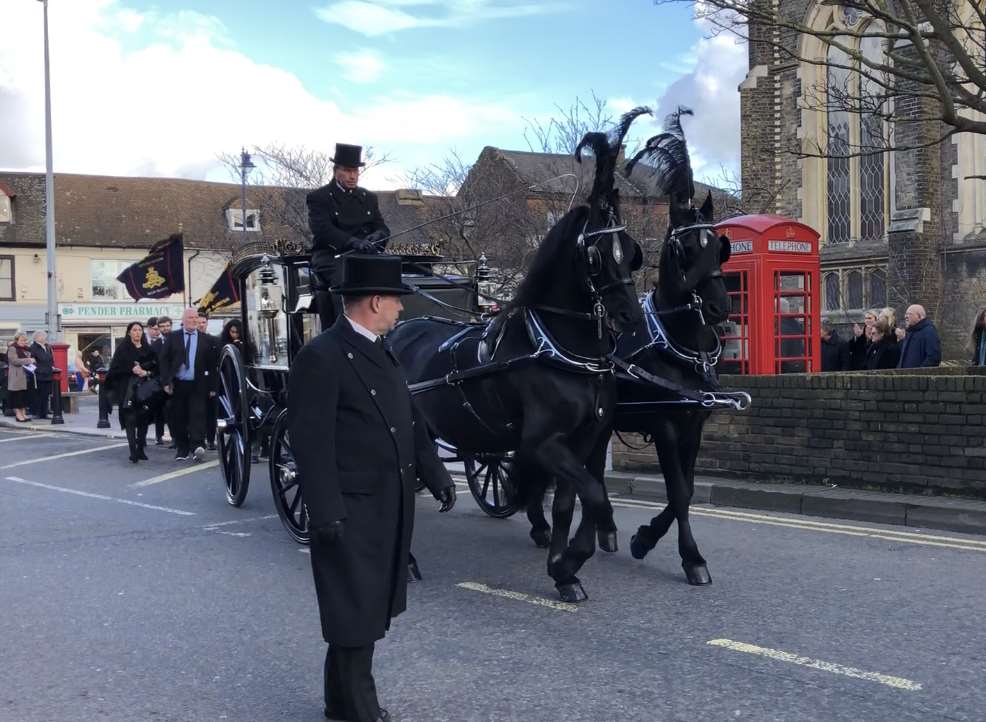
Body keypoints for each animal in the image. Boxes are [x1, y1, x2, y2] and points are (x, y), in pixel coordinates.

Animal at [388, 108, 648, 600]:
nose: (630, 316)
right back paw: (404, 561)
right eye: (595, 254)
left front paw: (564, 570)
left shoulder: (582, 440)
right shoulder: (541, 443)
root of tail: (397, 329)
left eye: (631, 251)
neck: (562, 352)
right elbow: (595, 496)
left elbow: (570, 502)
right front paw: (575, 557)